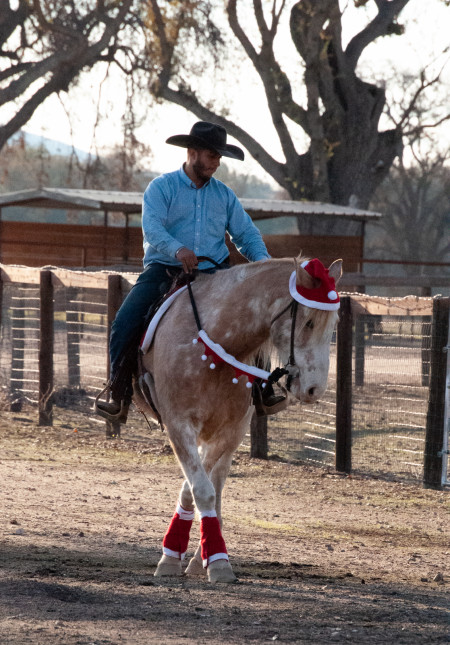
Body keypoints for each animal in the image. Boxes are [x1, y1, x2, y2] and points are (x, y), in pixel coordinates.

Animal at [134, 254, 342, 580]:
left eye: (333, 324)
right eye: (308, 322)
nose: (313, 389)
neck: (214, 344)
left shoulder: (232, 431)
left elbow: (203, 489)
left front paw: (211, 560)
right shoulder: (178, 425)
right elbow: (201, 490)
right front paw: (174, 557)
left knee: (216, 481)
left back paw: (199, 560)